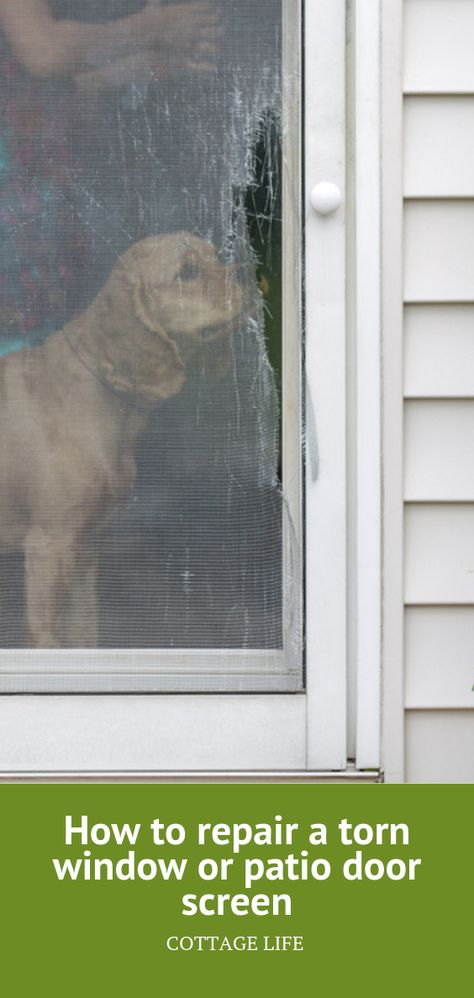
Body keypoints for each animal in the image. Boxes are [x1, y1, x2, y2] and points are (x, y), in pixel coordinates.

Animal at [0, 232, 246, 648]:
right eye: (188, 271)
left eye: (217, 256)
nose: (248, 278)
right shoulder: (49, 546)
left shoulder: (86, 547)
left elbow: (85, 632)